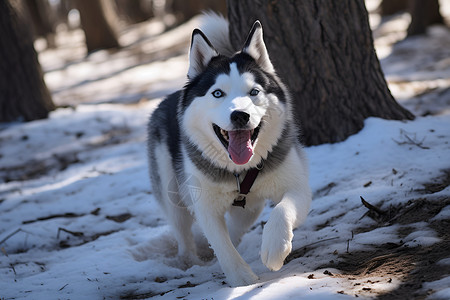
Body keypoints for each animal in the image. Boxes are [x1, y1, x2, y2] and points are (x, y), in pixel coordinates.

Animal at [149, 14, 312, 286]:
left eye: (254, 92)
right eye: (217, 93)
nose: (240, 115)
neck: (238, 171)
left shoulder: (297, 186)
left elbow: (282, 210)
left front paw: (275, 248)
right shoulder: (204, 206)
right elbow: (222, 245)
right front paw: (242, 279)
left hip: (251, 207)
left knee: (239, 223)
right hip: (171, 188)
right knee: (181, 229)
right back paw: (190, 260)